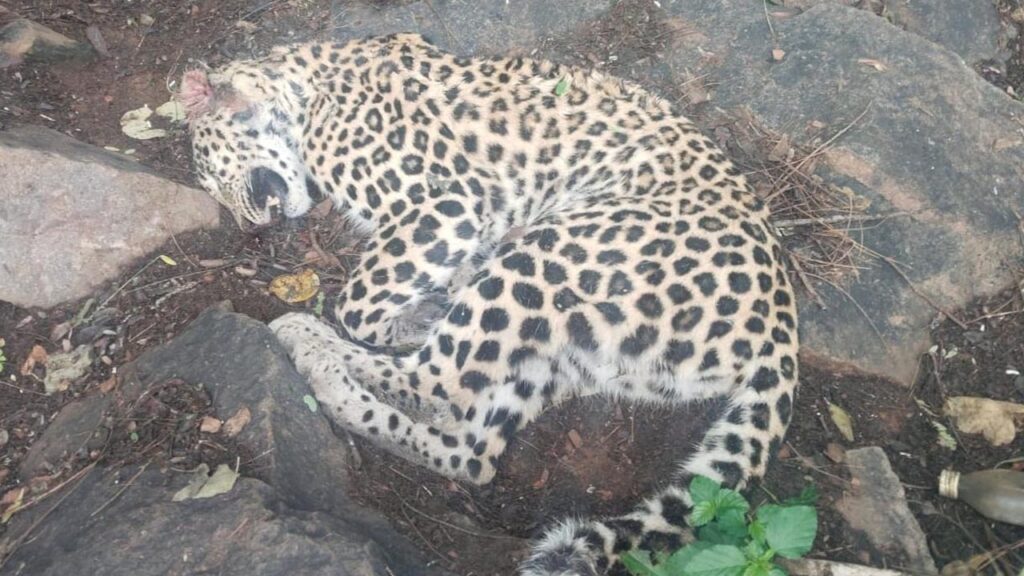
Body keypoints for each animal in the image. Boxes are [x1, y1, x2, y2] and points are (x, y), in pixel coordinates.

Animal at [181, 33, 800, 576]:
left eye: (213, 176)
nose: (250, 228)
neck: (305, 85)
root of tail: (781, 323)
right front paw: (432, 302)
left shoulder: (443, 204)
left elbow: (358, 302)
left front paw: (420, 311)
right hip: (569, 351)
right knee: (473, 449)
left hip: (546, 253)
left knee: (436, 387)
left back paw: (313, 352)